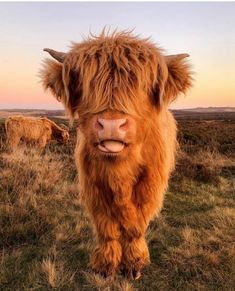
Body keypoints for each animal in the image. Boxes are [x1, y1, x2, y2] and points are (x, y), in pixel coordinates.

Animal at [41, 29, 193, 280]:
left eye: (143, 86)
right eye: (86, 84)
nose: (111, 125)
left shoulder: (149, 186)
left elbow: (136, 226)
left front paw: (134, 264)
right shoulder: (93, 186)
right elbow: (107, 228)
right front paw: (106, 266)